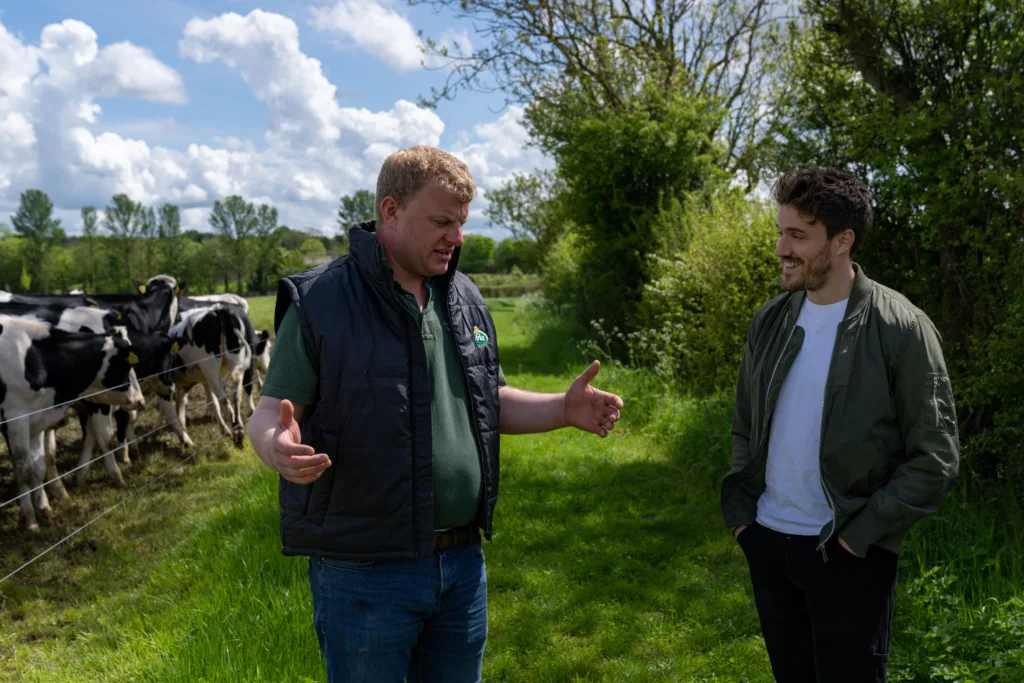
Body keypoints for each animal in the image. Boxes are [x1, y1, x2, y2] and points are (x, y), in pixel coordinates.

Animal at [0, 317, 145, 532]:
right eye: (127, 366)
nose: (140, 400)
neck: (35, 357)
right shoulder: (15, 420)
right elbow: (24, 471)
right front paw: (30, 520)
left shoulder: (36, 421)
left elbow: (38, 468)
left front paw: (43, 508)